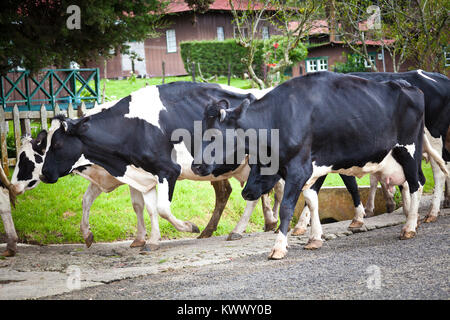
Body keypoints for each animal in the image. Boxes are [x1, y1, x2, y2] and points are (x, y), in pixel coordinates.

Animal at [36, 81, 282, 251]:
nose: (44, 174)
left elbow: (163, 208)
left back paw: (246, 229)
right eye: (44, 143)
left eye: (57, 144)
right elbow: (148, 208)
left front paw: (189, 227)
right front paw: (151, 240)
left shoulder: (168, 171)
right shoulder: (144, 175)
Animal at [193, 71, 428, 258]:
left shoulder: (299, 169)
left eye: (215, 135)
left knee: (416, 184)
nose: (196, 166)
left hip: (408, 149)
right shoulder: (312, 168)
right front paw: (314, 238)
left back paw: (409, 227)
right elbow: (312, 201)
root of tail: (409, 86)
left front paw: (279, 247)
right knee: (416, 181)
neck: (280, 118)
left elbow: (287, 207)